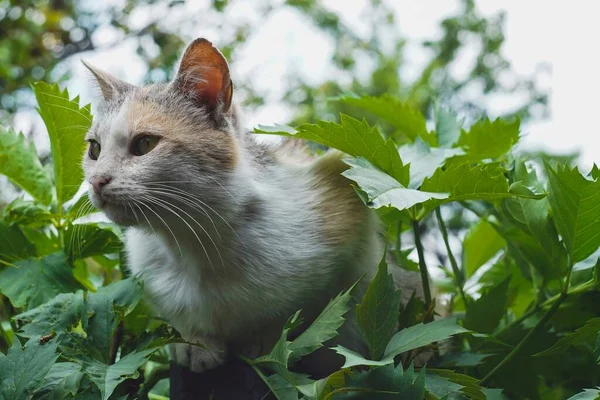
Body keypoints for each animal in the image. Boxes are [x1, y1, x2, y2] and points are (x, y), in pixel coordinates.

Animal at [82, 36, 424, 376]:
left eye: (144, 144)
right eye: (94, 149)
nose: (97, 181)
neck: (192, 244)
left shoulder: (341, 196)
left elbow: (301, 309)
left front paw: (262, 341)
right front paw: (195, 342)